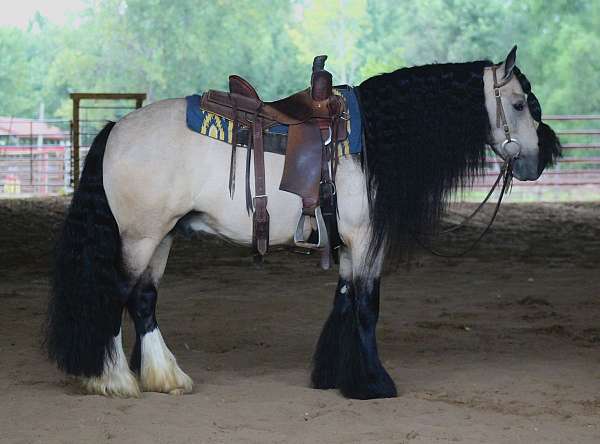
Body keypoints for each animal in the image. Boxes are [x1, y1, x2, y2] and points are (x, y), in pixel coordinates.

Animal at [47, 47, 564, 398]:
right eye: (520, 103)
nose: (541, 159)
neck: (369, 144)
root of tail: (116, 129)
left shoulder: (350, 243)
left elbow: (344, 300)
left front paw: (335, 375)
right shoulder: (366, 239)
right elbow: (366, 306)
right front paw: (374, 383)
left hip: (162, 236)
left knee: (143, 299)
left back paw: (162, 375)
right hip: (140, 236)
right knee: (118, 294)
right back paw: (116, 379)